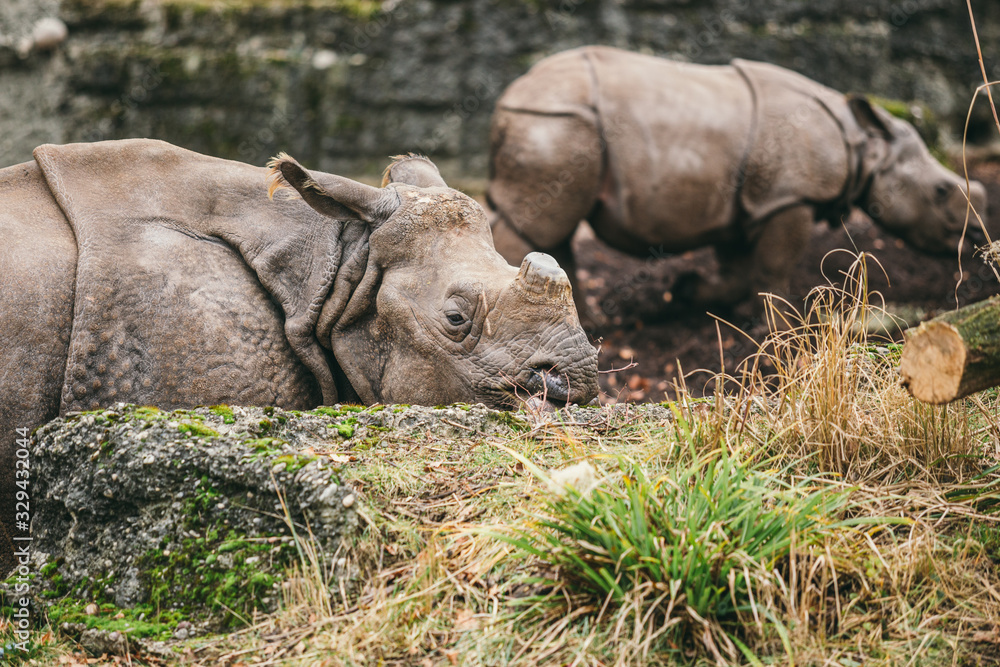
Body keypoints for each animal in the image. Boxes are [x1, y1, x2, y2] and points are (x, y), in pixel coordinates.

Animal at [487, 46, 988, 325]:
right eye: (942, 191)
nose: (977, 241)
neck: (866, 145)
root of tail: (507, 100)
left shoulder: (747, 203)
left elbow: (739, 268)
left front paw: (692, 293)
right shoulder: (789, 197)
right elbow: (774, 266)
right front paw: (781, 330)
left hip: (559, 123)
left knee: (553, 228)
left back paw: (590, 326)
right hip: (558, 122)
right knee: (540, 223)